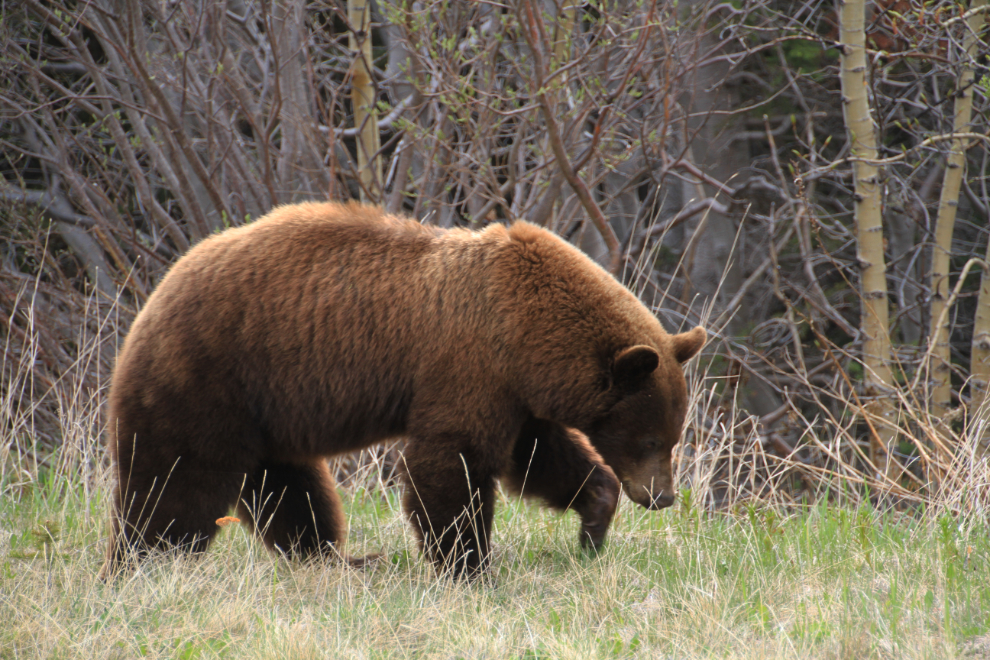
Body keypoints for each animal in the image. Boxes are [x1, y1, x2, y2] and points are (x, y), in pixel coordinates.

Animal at [101, 202, 704, 576]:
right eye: (651, 439)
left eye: (674, 437)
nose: (661, 496)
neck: (528, 332)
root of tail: (150, 302)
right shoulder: (467, 363)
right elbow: (452, 462)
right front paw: (469, 565)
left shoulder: (513, 391)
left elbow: (539, 455)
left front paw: (594, 520)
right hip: (209, 381)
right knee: (176, 485)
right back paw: (143, 563)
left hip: (268, 416)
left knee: (293, 491)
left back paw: (338, 559)